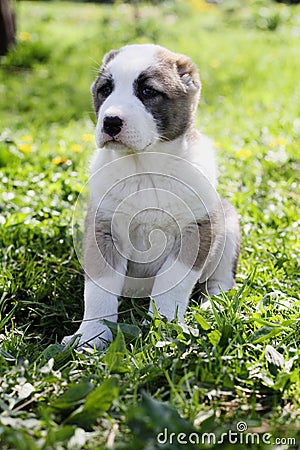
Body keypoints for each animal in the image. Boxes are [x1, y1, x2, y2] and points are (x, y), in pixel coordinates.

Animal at [62, 44, 240, 350]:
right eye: (105, 89)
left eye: (147, 91)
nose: (110, 122)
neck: (144, 168)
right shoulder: (102, 229)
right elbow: (98, 290)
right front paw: (91, 336)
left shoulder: (197, 231)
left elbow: (172, 284)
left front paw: (165, 328)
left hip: (227, 226)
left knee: (221, 281)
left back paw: (212, 308)